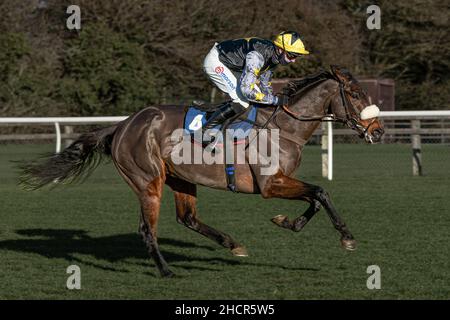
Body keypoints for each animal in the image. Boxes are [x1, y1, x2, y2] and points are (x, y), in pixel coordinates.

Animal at [22, 65, 384, 278]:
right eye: (355, 94)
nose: (378, 131)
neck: (284, 127)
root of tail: (122, 125)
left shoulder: (281, 182)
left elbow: (315, 199)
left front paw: (288, 222)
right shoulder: (271, 184)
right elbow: (321, 192)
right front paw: (347, 237)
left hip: (181, 179)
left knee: (188, 218)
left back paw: (232, 243)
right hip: (148, 181)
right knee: (146, 228)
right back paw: (166, 270)